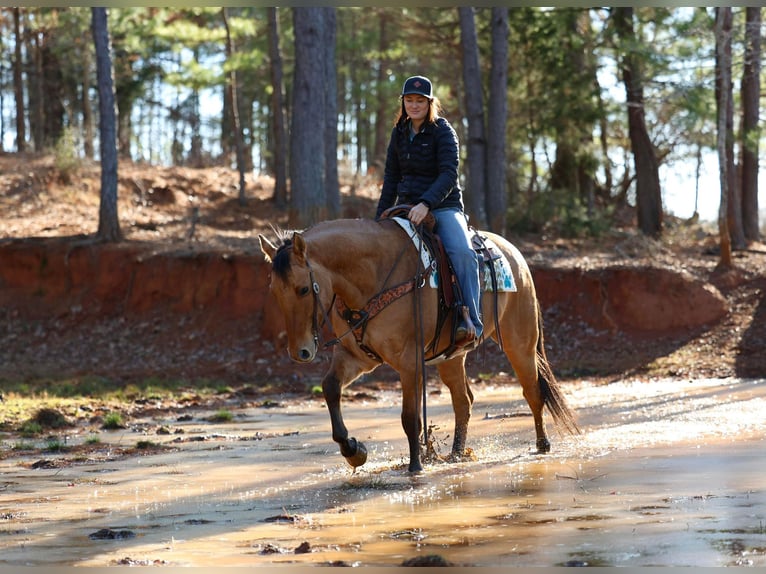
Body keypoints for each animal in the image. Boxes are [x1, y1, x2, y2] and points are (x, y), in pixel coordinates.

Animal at [260, 218, 580, 474]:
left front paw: (415, 465)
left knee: (533, 391)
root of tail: (515, 256)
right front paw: (353, 450)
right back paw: (456, 453)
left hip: (520, 343)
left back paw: (542, 444)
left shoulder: (409, 360)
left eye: (303, 289)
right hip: (451, 357)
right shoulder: (355, 356)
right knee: (463, 401)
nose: (300, 352)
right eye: (274, 290)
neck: (375, 276)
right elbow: (330, 388)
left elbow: (410, 416)